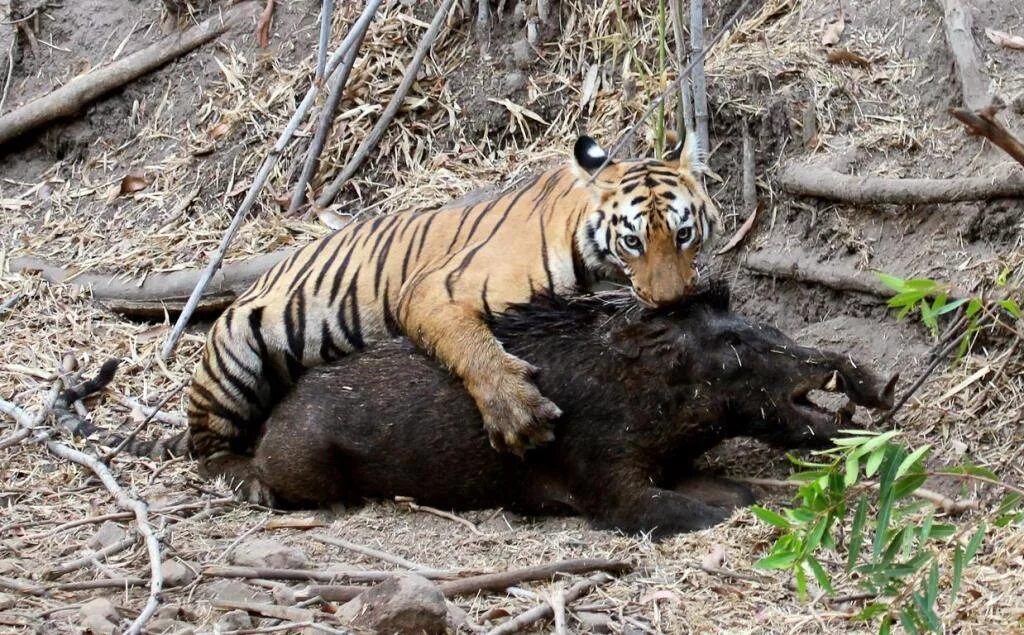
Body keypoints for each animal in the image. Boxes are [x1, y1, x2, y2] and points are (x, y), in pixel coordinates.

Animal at [186, 134, 720, 501]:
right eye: (632, 241)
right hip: (235, 352)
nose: (672, 301)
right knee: (204, 447)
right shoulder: (429, 291)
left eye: (684, 234)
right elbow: (472, 344)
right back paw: (248, 478)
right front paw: (517, 414)